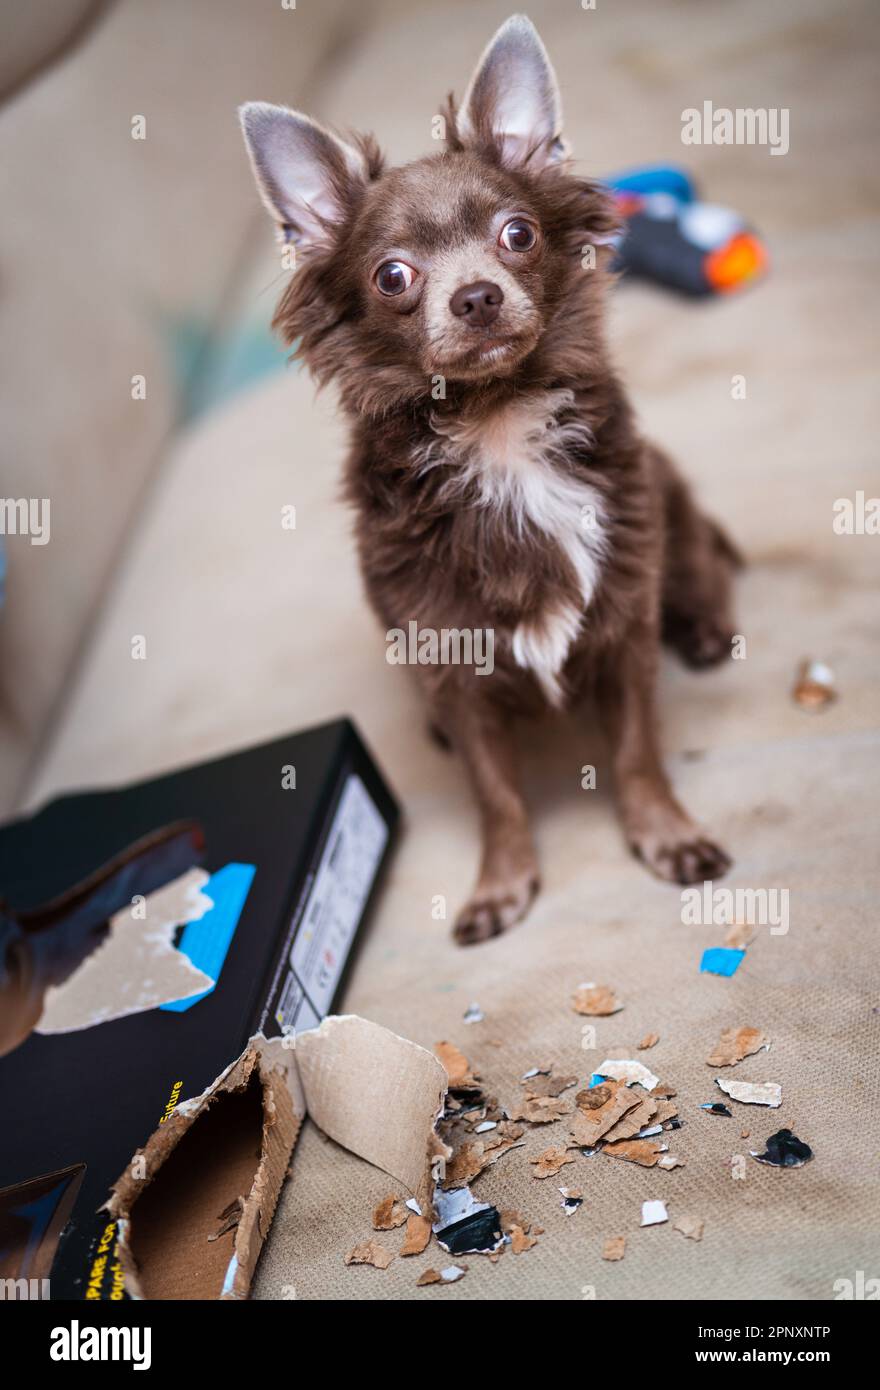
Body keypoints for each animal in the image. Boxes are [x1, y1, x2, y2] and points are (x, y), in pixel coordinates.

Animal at [239, 16, 734, 945]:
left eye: (518, 235)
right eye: (392, 276)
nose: (475, 297)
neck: (496, 427)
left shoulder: (624, 626)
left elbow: (636, 750)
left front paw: (664, 834)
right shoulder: (453, 664)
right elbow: (495, 791)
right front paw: (502, 884)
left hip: (670, 515)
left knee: (704, 565)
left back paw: (707, 627)